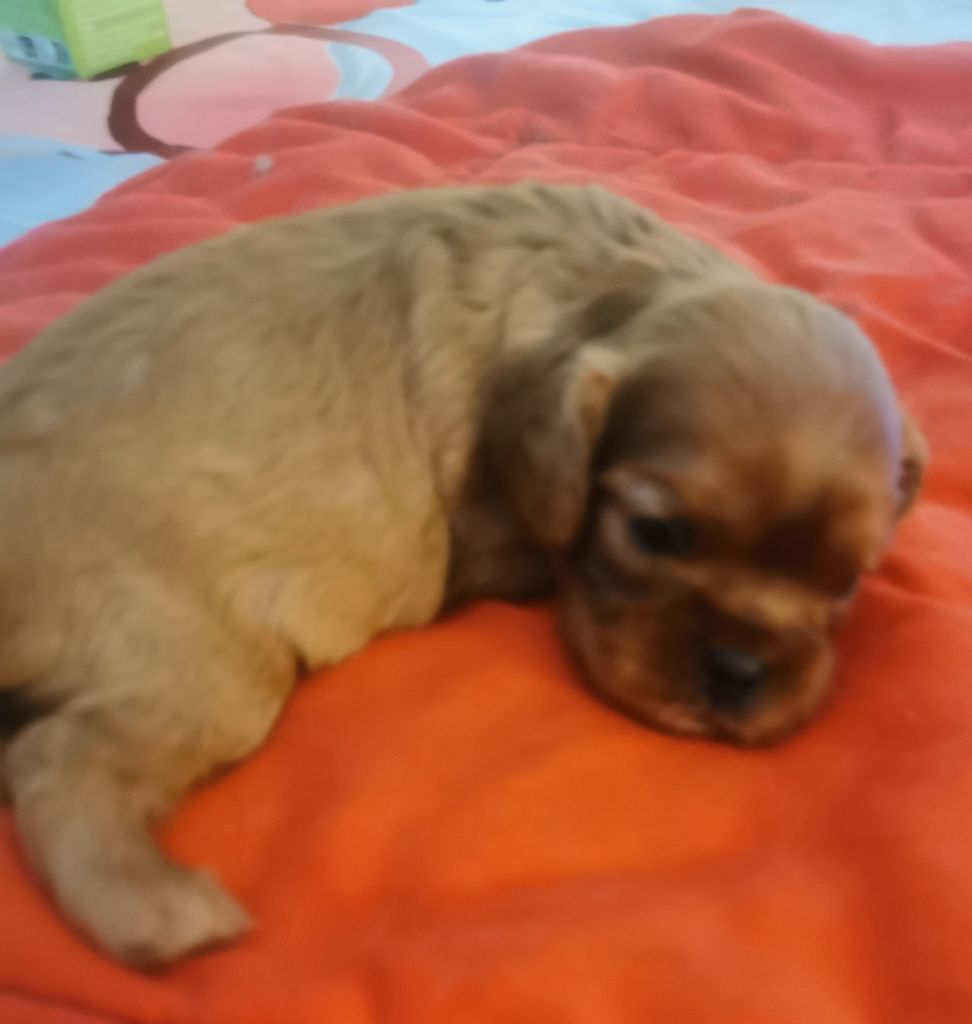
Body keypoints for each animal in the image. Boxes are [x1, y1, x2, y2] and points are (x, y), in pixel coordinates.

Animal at [0, 183, 925, 967]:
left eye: (846, 581)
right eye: (655, 532)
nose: (737, 672)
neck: (608, 286)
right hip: (200, 653)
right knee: (53, 760)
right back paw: (159, 913)